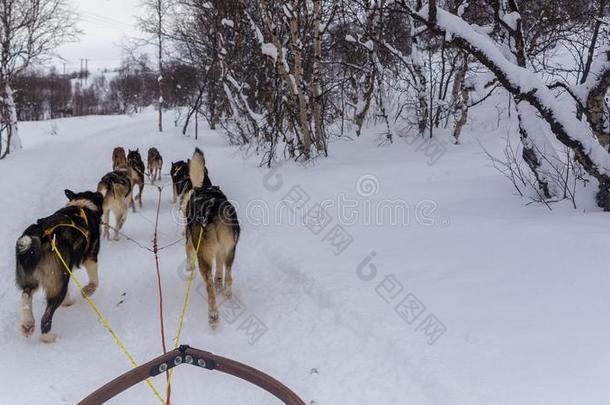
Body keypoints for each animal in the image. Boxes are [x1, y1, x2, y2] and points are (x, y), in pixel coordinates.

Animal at [14, 189, 102, 340]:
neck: (82, 204)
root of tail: (40, 234)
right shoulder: (90, 257)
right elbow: (95, 281)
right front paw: (88, 290)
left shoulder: (65, 270)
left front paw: (68, 302)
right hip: (58, 284)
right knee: (46, 318)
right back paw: (49, 338)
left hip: (37, 278)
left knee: (26, 295)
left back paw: (27, 324)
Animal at [183, 148, 238, 328]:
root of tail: (211, 211)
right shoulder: (221, 250)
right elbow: (220, 269)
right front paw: (219, 281)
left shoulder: (191, 242)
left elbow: (188, 252)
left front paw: (188, 267)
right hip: (230, 250)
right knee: (228, 275)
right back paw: (225, 291)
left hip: (203, 257)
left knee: (209, 287)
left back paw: (213, 315)